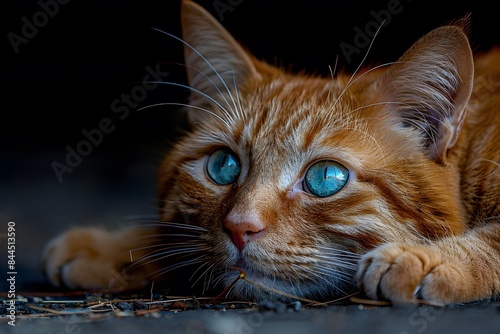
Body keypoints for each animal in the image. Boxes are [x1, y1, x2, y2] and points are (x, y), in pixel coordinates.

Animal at [42, 0, 500, 304]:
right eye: (223, 166)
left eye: (325, 178)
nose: (240, 227)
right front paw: (112, 247)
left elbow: (492, 240)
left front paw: (427, 259)